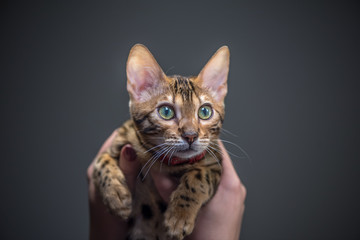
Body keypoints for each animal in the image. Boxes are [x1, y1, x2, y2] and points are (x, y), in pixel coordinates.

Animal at [91, 44, 229, 239]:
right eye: (166, 112)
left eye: (205, 112)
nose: (191, 135)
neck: (166, 162)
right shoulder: (121, 139)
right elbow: (101, 161)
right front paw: (115, 194)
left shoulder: (214, 162)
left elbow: (199, 177)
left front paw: (180, 215)